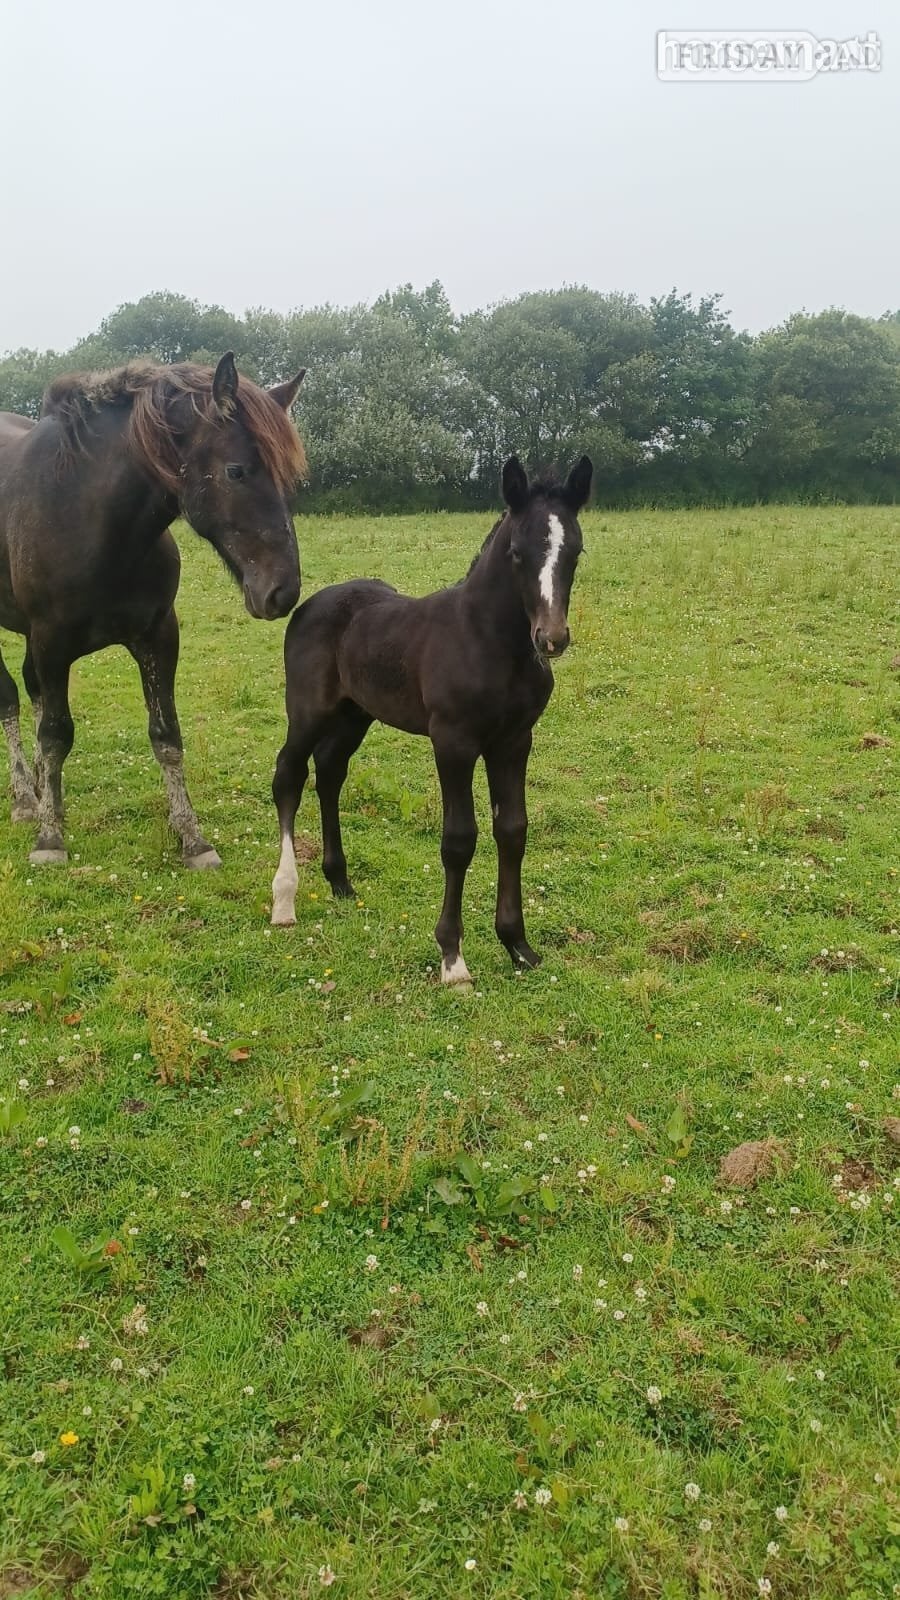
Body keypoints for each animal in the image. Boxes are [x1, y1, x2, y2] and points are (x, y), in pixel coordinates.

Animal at [0, 353, 305, 867]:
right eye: (236, 471)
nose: (282, 591)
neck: (87, 516)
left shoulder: (158, 637)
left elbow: (166, 736)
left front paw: (192, 838)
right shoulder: (50, 641)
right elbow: (56, 734)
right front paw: (50, 838)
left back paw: (41, 790)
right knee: (11, 699)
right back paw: (26, 799)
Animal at [270, 453, 592, 984]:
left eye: (576, 553)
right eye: (517, 553)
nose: (551, 638)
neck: (489, 642)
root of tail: (309, 604)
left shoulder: (514, 740)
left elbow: (513, 830)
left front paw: (518, 945)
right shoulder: (453, 741)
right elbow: (459, 840)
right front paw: (452, 958)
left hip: (355, 715)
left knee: (330, 773)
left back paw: (341, 882)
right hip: (309, 711)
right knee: (289, 776)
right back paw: (284, 900)